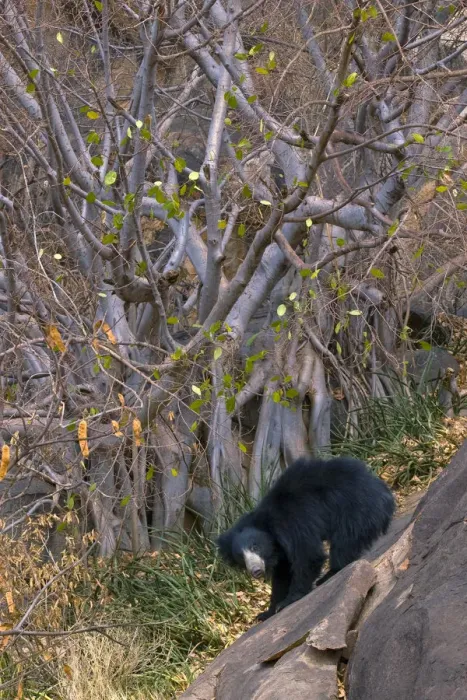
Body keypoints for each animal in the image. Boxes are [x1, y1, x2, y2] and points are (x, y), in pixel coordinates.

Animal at [217, 456, 395, 622]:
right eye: (240, 557)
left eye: (255, 547)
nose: (255, 571)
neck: (271, 529)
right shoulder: (279, 548)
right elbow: (282, 573)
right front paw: (267, 613)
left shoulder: (294, 522)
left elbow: (307, 555)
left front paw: (288, 600)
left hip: (355, 509)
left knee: (345, 540)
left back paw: (329, 574)